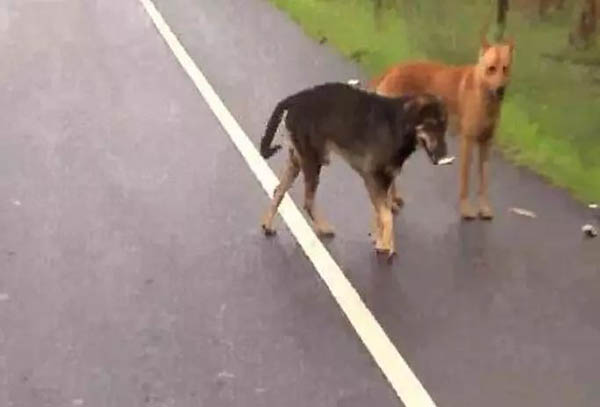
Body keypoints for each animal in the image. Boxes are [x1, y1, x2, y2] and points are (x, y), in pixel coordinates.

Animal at [260, 82, 448, 258]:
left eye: (444, 127)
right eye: (431, 125)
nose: (444, 157)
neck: (399, 125)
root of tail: (295, 99)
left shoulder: (386, 180)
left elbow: (381, 214)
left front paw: (383, 241)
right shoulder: (372, 177)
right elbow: (386, 216)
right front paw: (384, 246)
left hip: (297, 161)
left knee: (279, 190)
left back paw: (267, 225)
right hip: (313, 162)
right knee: (308, 201)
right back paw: (323, 227)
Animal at [372, 35, 512, 220]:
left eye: (505, 69)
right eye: (491, 69)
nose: (501, 90)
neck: (482, 90)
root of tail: (392, 69)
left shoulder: (486, 143)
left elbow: (483, 182)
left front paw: (484, 208)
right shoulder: (467, 142)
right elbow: (465, 182)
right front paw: (466, 209)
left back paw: (394, 199)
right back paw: (390, 203)